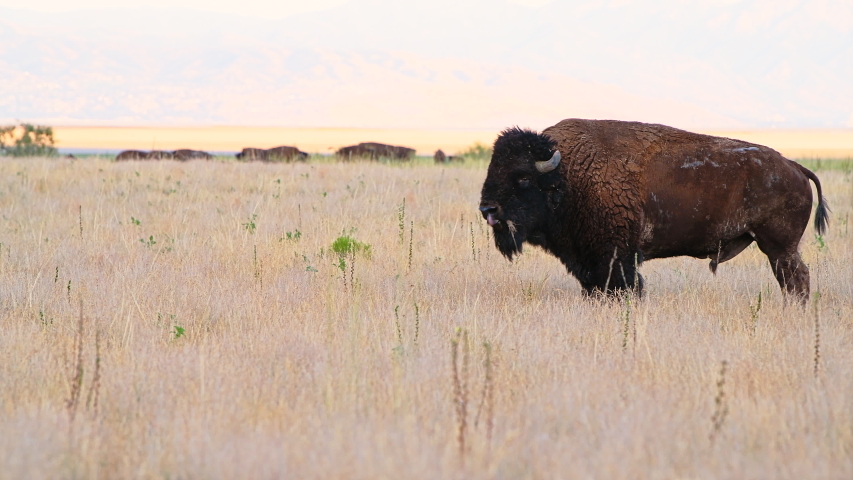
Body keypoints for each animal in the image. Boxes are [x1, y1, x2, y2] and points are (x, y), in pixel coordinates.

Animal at [479, 119, 829, 302]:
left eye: (522, 177)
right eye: (492, 168)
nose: (487, 208)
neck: (568, 175)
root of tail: (794, 166)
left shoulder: (617, 259)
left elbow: (626, 288)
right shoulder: (589, 262)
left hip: (778, 247)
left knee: (796, 279)